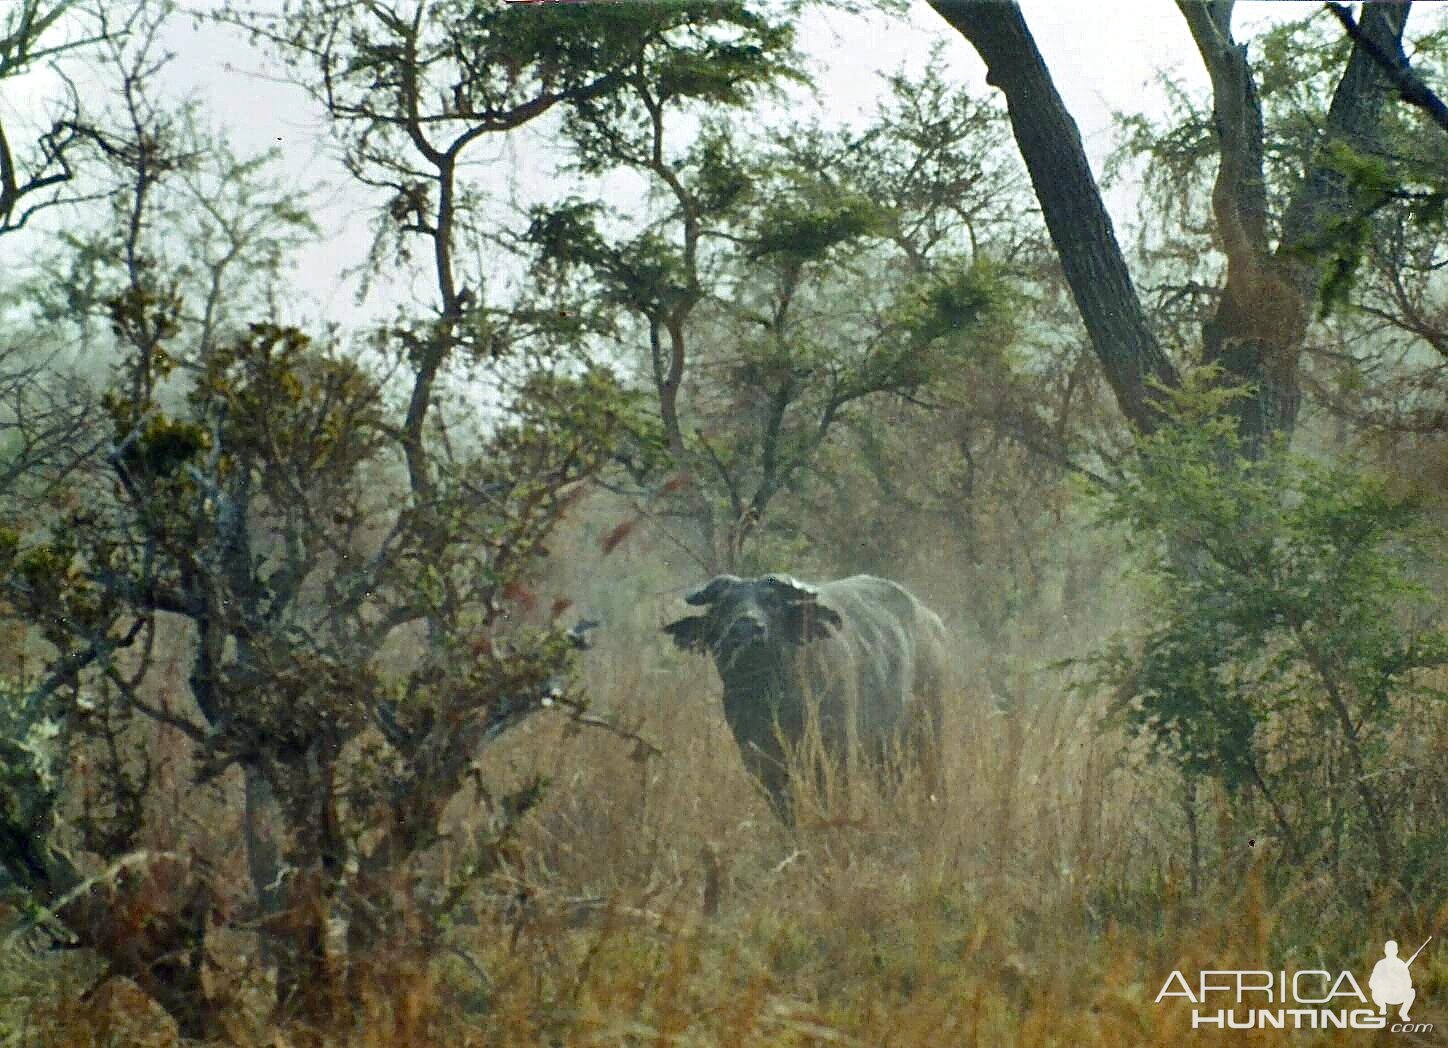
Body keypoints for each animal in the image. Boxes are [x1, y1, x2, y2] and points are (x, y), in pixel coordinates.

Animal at [660, 570, 949, 822]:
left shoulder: (837, 756)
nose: (746, 628)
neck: (770, 698)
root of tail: (932, 622)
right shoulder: (759, 763)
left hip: (927, 736)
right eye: (723, 606)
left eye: (773, 602)